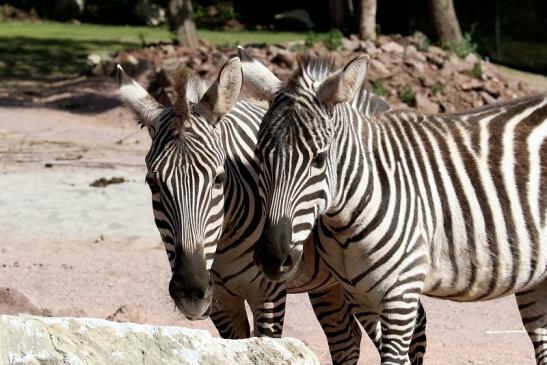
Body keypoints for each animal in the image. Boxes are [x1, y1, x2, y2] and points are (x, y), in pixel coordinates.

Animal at [117, 57, 422, 364]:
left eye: (219, 178)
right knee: (347, 340)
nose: (190, 292)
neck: (223, 243)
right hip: (330, 284)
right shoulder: (221, 301)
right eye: (152, 183)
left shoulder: (269, 293)